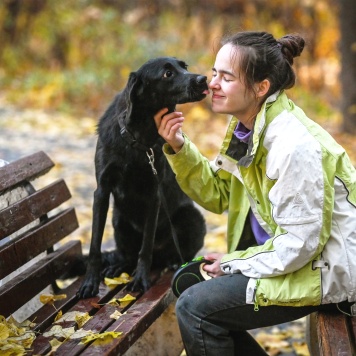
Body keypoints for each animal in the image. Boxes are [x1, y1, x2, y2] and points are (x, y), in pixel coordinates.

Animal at [76, 57, 207, 298]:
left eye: (184, 66)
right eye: (167, 73)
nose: (203, 79)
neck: (139, 137)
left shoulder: (154, 194)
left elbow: (145, 247)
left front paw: (140, 279)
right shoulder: (102, 191)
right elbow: (95, 245)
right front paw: (90, 282)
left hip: (192, 218)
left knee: (168, 254)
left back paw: (175, 262)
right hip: (118, 220)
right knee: (126, 255)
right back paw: (118, 266)